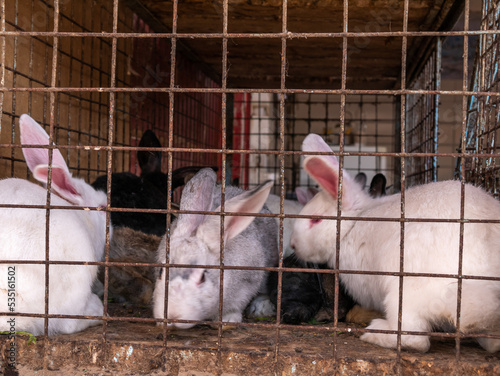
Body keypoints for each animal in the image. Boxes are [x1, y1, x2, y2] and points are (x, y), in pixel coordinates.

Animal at [290, 134, 500, 352]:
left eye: (315, 220)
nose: (293, 244)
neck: (351, 225)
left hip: (403, 294)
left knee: (414, 338)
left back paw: (374, 332)